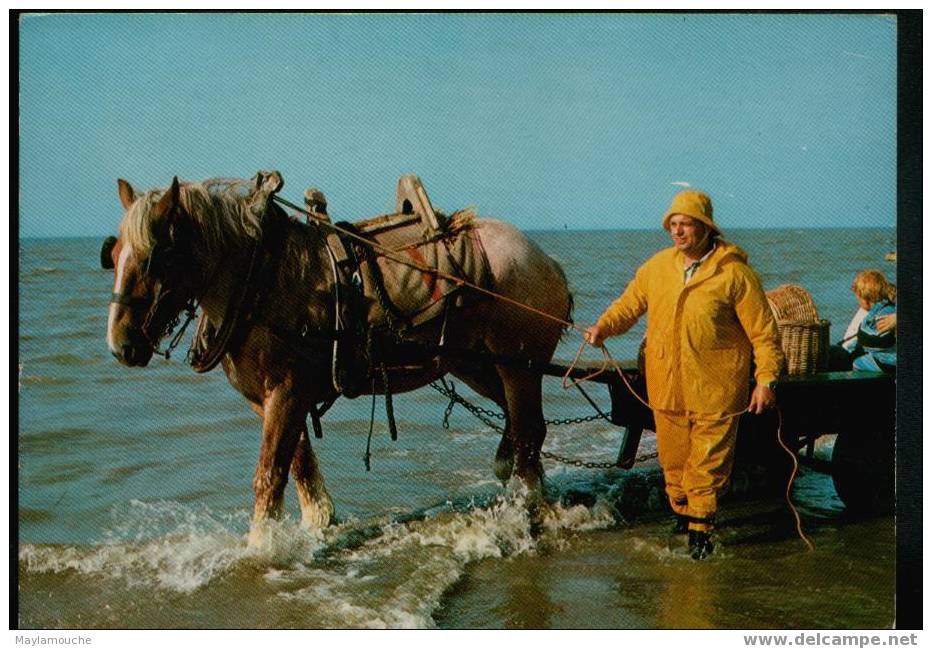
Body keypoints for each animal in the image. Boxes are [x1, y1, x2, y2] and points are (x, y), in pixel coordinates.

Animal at [100, 172, 568, 540]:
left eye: (156, 257)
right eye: (114, 253)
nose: (120, 344)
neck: (261, 278)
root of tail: (547, 260)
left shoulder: (287, 391)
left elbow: (270, 473)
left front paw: (260, 548)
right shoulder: (271, 398)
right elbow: (299, 463)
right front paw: (317, 522)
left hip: (517, 367)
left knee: (528, 430)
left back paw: (527, 502)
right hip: (476, 363)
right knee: (521, 424)